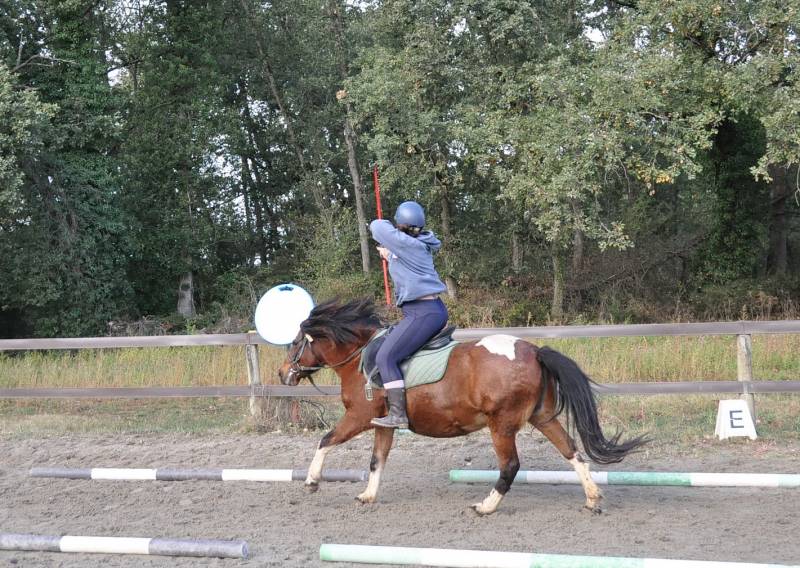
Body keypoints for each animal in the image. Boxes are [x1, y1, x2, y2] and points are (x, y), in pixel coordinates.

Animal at [278, 298, 648, 516]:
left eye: (295, 343)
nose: (283, 374)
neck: (360, 357)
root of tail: (533, 350)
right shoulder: (384, 424)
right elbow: (376, 461)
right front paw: (368, 496)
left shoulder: (359, 417)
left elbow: (325, 441)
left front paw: (312, 481)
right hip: (542, 417)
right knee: (571, 451)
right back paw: (592, 497)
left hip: (502, 425)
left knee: (510, 465)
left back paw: (486, 506)